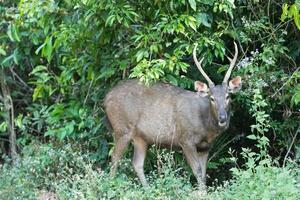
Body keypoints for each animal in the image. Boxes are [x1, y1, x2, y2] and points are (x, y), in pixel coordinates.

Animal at [103, 41, 241, 186]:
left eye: (228, 96)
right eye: (212, 98)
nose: (222, 118)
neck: (206, 128)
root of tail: (105, 99)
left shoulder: (205, 147)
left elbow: (204, 175)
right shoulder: (186, 140)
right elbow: (197, 171)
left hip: (140, 137)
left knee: (137, 163)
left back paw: (147, 188)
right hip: (122, 128)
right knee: (114, 159)